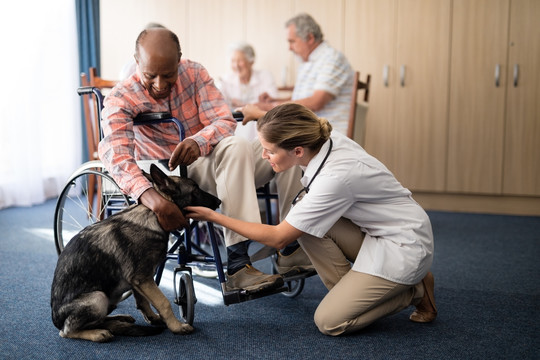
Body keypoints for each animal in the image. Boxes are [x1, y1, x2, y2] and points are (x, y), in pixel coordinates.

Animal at [50, 165, 219, 342]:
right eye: (195, 189)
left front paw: (154, 317)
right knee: (68, 331)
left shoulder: (139, 280)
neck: (153, 215)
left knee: (100, 320)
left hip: (110, 298)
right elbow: (163, 302)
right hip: (98, 298)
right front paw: (176, 326)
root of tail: (56, 321)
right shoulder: (142, 278)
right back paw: (97, 333)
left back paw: (118, 319)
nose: (219, 202)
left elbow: (143, 301)